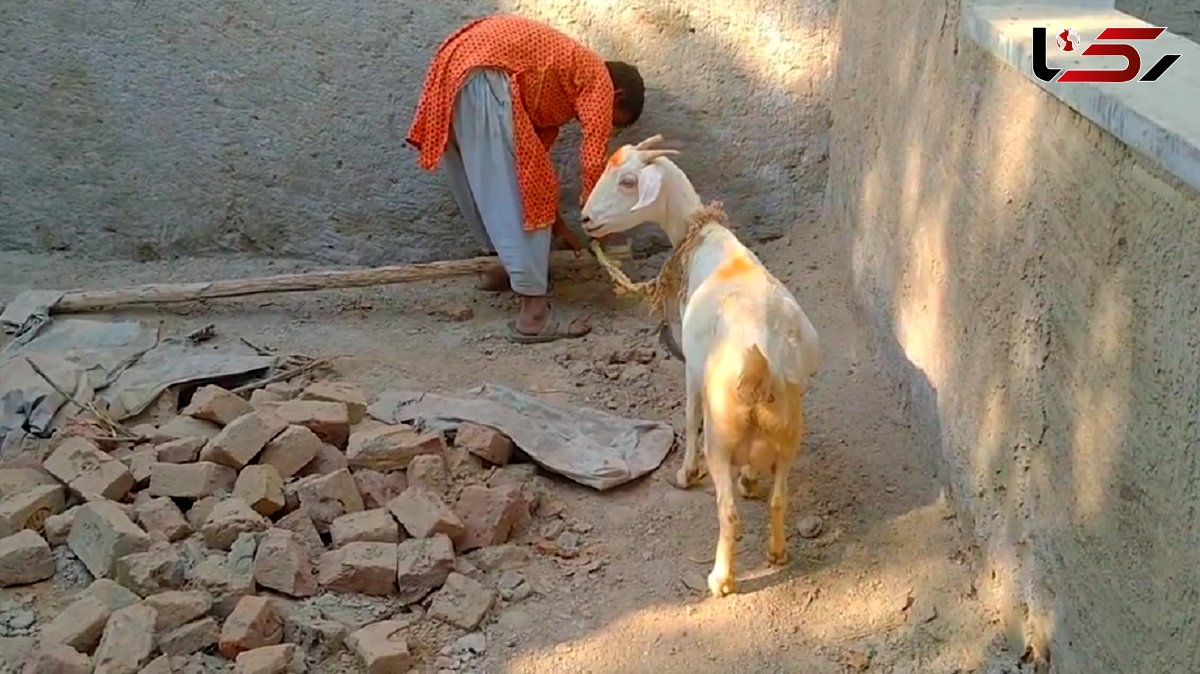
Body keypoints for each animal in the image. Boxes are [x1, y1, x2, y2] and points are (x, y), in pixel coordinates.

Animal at [578, 133, 820, 594]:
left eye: (628, 181)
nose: (584, 219)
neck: (706, 237)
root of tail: (760, 366)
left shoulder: (691, 365)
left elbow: (689, 417)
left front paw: (685, 474)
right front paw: (751, 480)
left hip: (722, 438)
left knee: (728, 512)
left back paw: (721, 579)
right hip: (789, 434)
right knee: (779, 498)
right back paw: (776, 552)